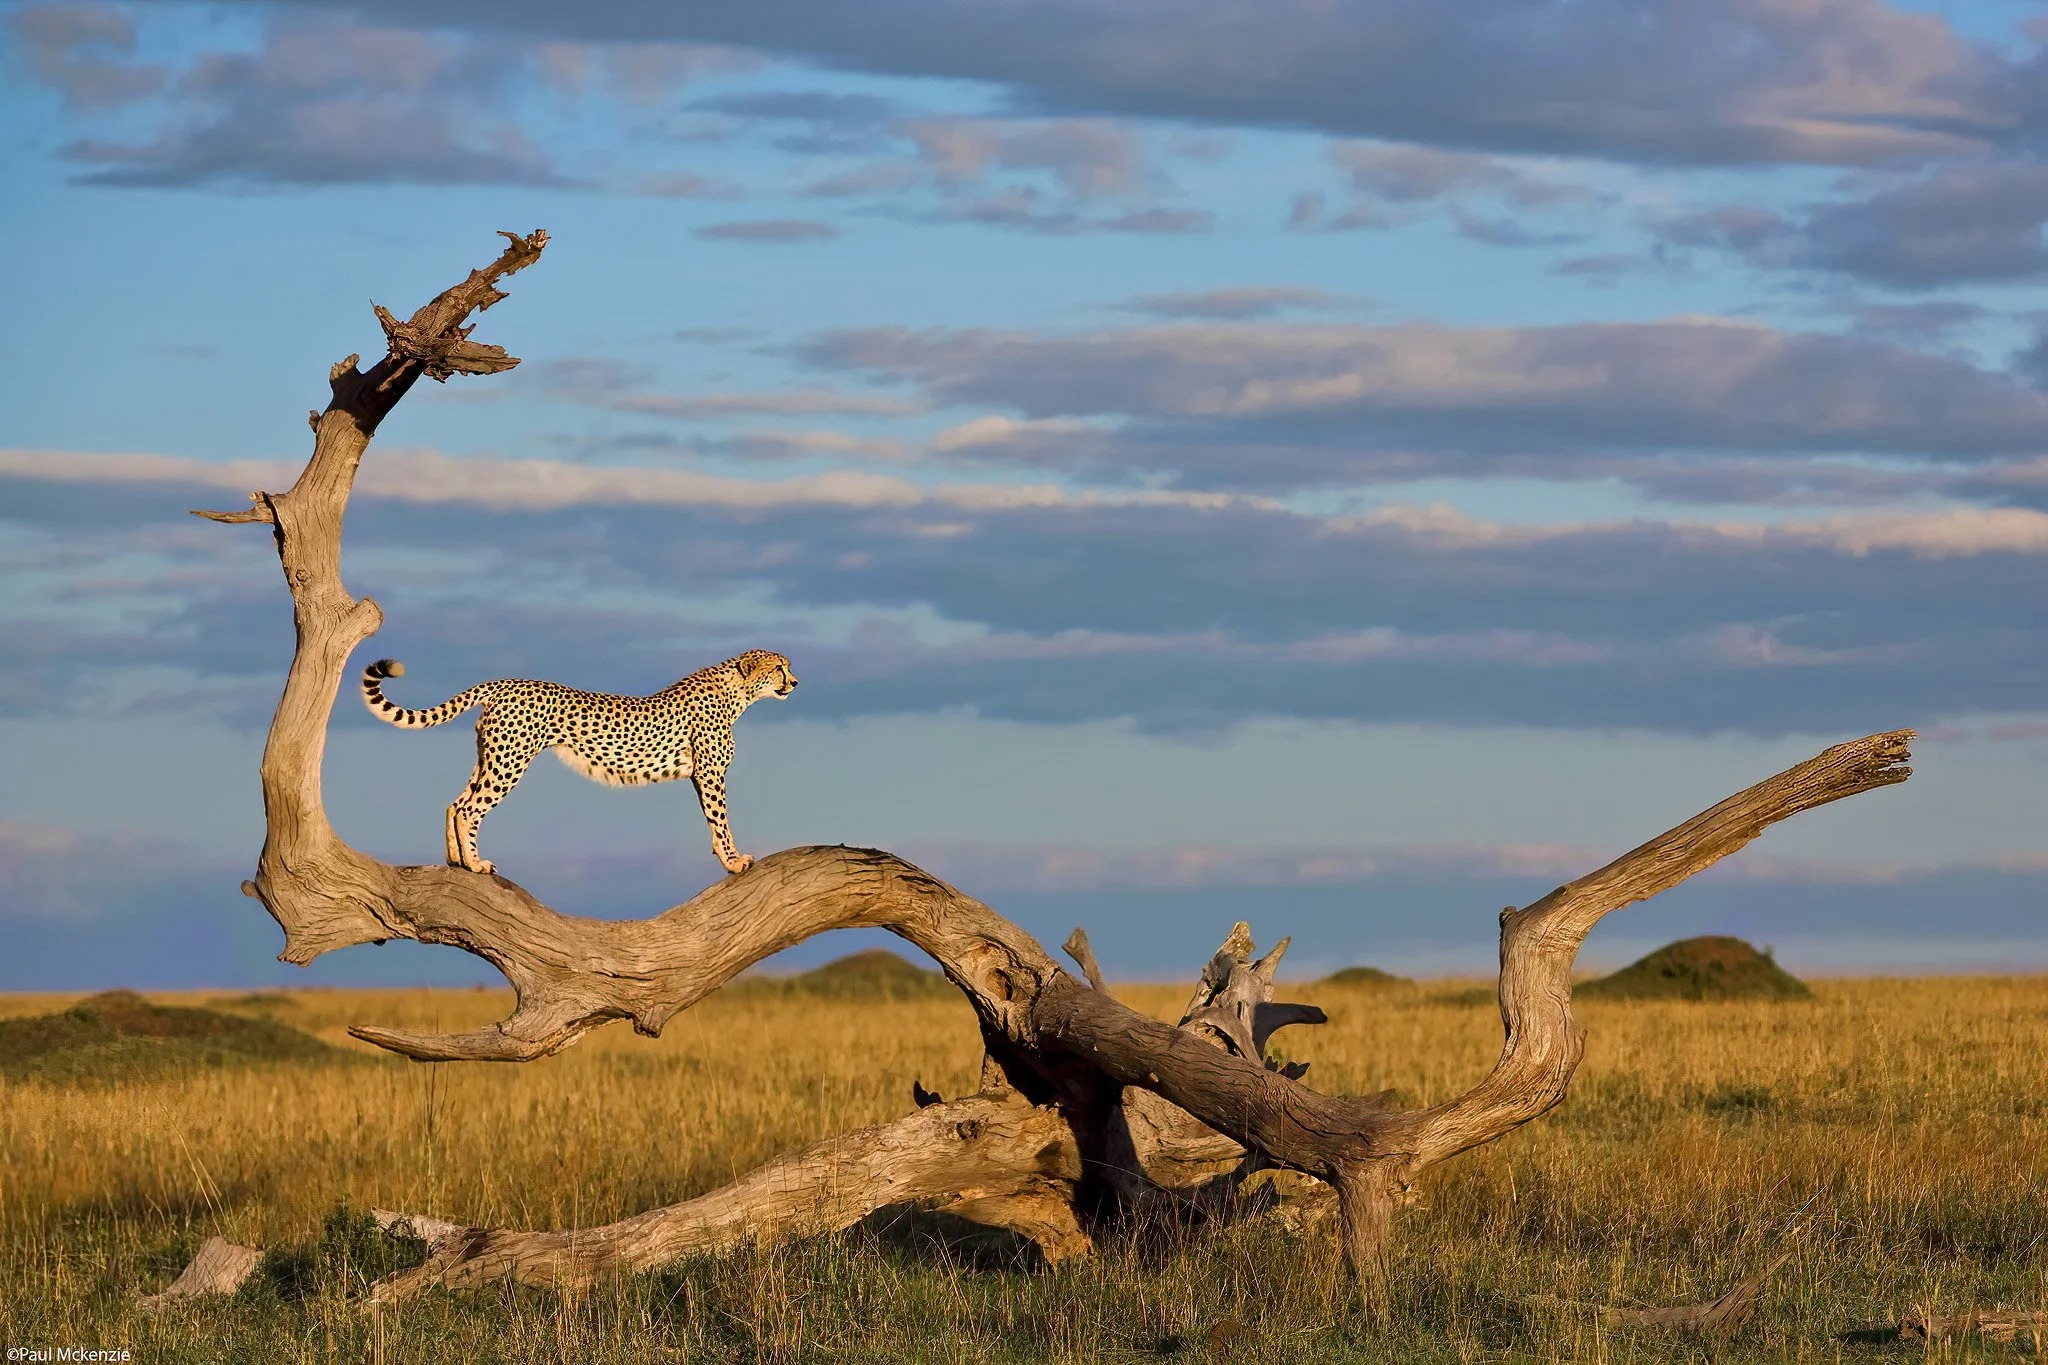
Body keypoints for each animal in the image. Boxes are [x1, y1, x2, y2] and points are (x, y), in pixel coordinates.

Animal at [360, 649, 797, 878]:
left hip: (490, 757)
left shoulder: (700, 775)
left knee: (455, 802)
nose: (794, 682)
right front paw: (735, 861)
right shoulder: (710, 773)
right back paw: (474, 863)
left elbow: (712, 823)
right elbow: (721, 821)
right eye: (779, 667)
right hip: (509, 762)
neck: (738, 693)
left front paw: (727, 859)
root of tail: (506, 682)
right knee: (470, 808)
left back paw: (455, 860)